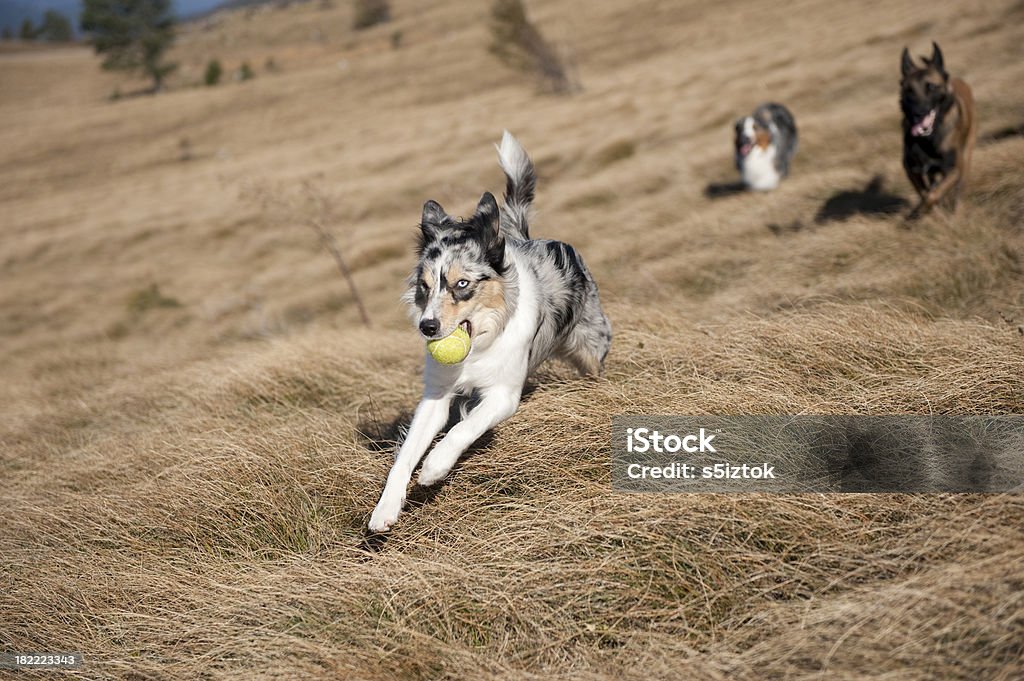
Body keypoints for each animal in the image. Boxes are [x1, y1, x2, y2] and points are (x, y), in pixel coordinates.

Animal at [901, 43, 978, 218]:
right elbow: (926, 194)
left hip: (966, 157)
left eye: (930, 86)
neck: (929, 138)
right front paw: (931, 213)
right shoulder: (911, 169)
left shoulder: (953, 169)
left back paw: (957, 214)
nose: (918, 113)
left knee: (959, 191)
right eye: (909, 91)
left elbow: (932, 195)